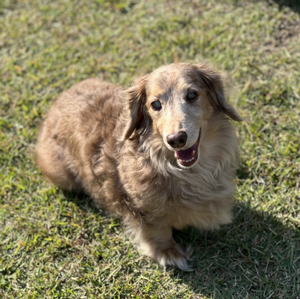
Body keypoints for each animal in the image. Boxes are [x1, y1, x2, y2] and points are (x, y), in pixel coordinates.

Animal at [35, 63, 241, 272]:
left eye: (192, 94)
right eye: (155, 104)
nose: (176, 139)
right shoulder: (144, 210)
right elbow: (158, 230)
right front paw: (170, 253)